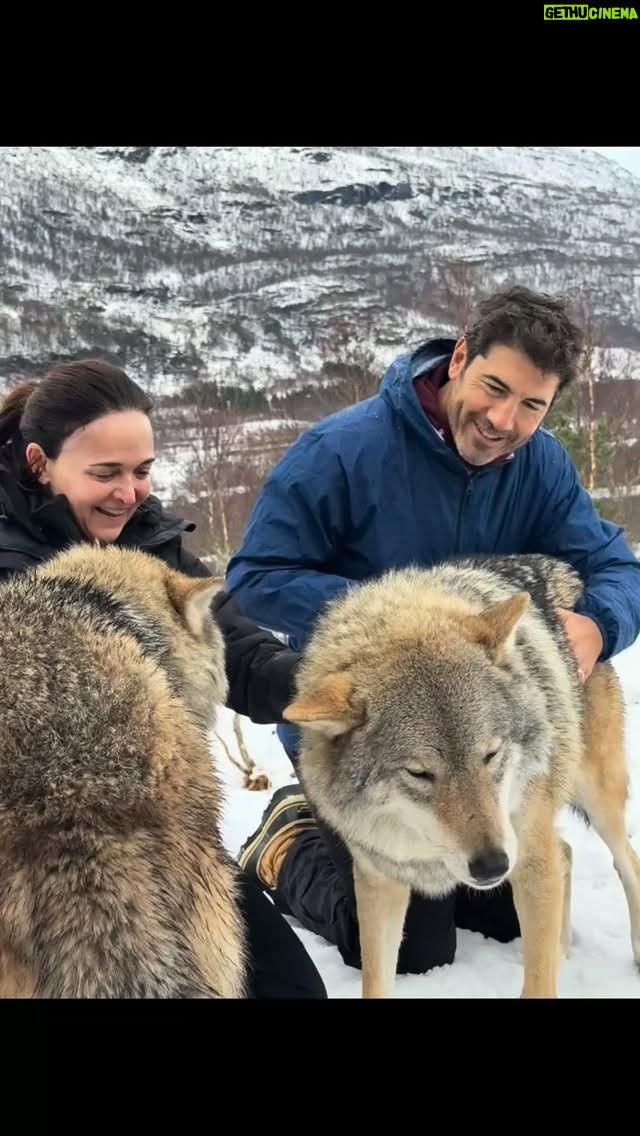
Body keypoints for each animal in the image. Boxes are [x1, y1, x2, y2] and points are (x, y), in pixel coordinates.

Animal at [283, 552, 640, 999]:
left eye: (490, 754)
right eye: (419, 773)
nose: (491, 867)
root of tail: (565, 570)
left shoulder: (529, 858)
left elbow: (538, 984)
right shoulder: (379, 876)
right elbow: (375, 981)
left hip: (594, 800)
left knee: (626, 861)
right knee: (567, 853)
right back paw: (562, 952)